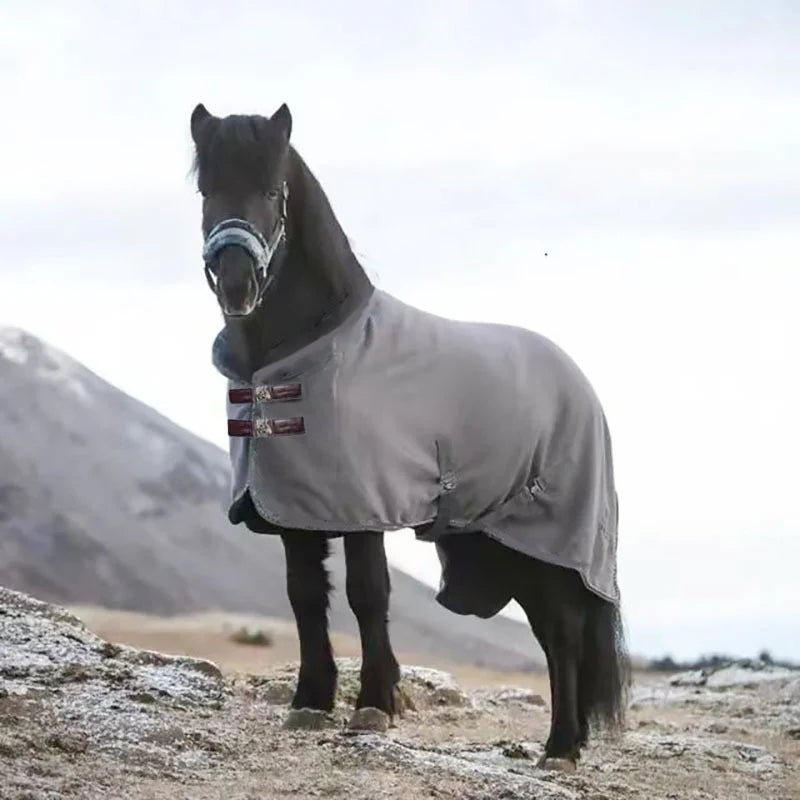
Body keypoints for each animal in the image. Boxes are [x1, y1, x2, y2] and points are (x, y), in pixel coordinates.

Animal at [189, 101, 629, 770]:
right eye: (206, 190)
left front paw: (373, 704)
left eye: (271, 191)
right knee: (557, 634)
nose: (237, 282)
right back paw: (569, 740)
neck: (308, 350)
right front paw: (311, 701)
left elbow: (367, 594)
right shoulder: (294, 509)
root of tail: (579, 384)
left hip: (550, 539)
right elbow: (304, 596)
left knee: (563, 631)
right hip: (511, 545)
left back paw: (559, 747)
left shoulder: (364, 504)